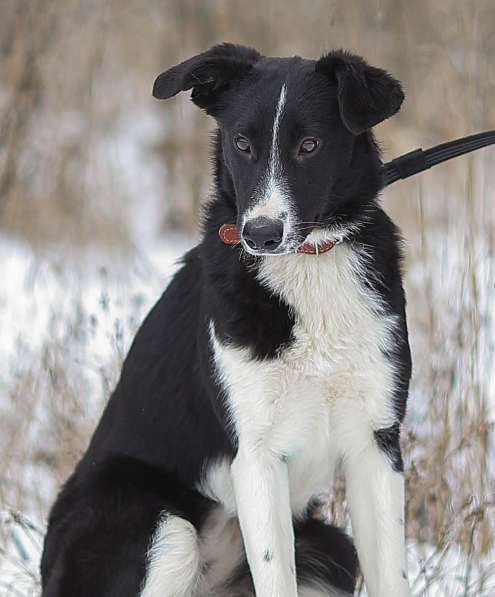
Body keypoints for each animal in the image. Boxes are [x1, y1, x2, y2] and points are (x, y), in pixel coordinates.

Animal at [39, 43, 410, 596]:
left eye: (310, 145)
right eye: (242, 143)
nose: (260, 234)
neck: (308, 267)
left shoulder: (376, 442)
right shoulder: (256, 456)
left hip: (330, 549)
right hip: (160, 528)